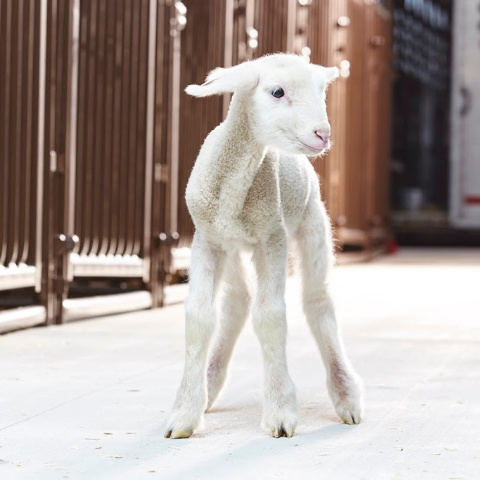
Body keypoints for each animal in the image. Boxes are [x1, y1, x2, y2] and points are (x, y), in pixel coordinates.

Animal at [165, 53, 364, 438]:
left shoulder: (273, 237)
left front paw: (280, 413)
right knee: (237, 301)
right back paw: (210, 383)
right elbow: (198, 317)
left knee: (318, 303)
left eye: (321, 91)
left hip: (312, 223)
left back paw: (346, 395)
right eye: (277, 92)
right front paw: (183, 414)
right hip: (232, 250)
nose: (323, 134)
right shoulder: (207, 240)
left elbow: (271, 317)